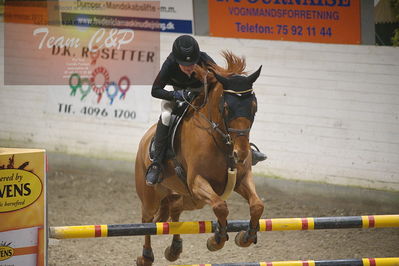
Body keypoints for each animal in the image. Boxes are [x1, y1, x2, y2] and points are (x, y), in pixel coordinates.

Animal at [135, 52, 266, 266]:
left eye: (253, 106)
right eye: (226, 108)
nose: (241, 154)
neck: (222, 143)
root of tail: (146, 138)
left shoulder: (242, 178)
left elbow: (257, 205)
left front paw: (246, 237)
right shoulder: (197, 182)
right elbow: (221, 207)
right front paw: (216, 240)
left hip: (189, 198)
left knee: (175, 209)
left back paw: (174, 249)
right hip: (152, 195)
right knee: (146, 221)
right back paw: (146, 256)